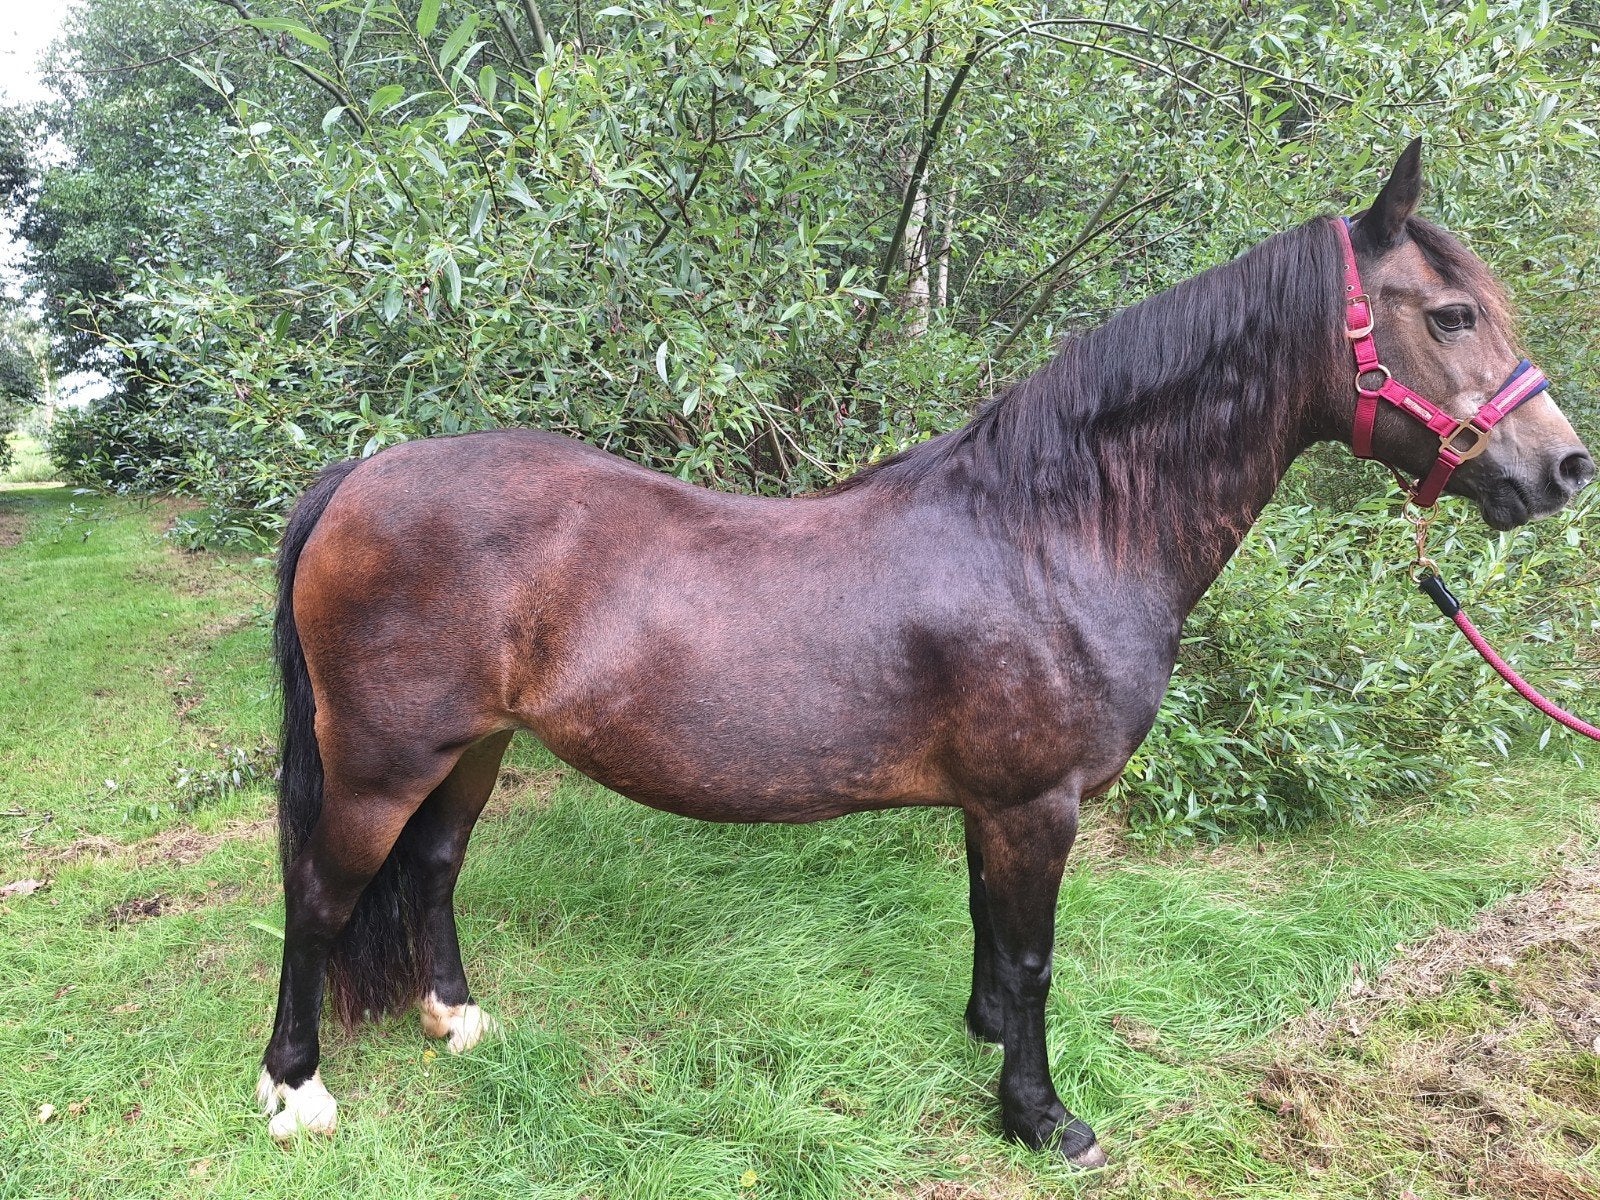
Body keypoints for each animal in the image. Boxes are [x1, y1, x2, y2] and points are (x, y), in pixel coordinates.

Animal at [255, 141, 1593, 1165]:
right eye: (1452, 314)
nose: (1561, 468)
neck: (1053, 529)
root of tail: (358, 478)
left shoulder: (992, 804)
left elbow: (992, 938)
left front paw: (987, 1043)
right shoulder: (1037, 801)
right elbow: (1038, 957)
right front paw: (1045, 1119)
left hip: (471, 747)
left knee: (432, 868)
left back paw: (457, 1022)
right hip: (380, 759)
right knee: (320, 894)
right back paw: (295, 1090)